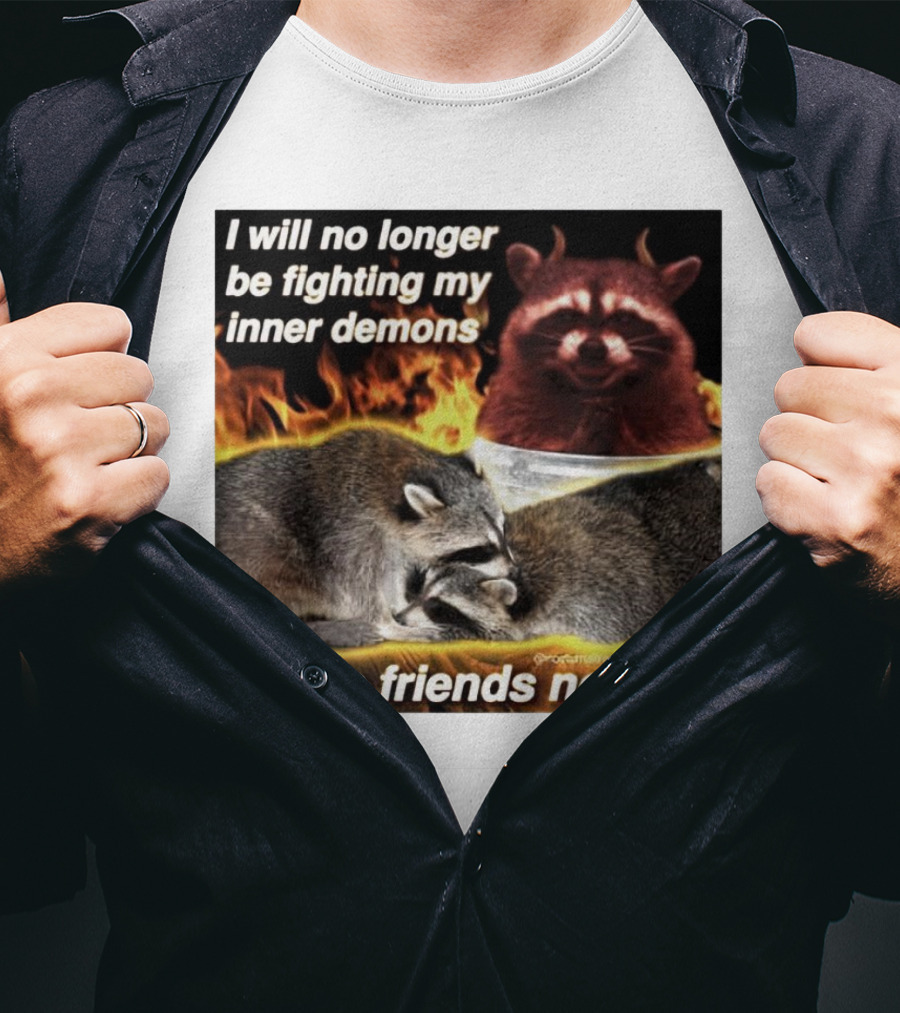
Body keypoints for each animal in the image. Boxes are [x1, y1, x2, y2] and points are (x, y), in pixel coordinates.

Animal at [215, 428, 511, 646]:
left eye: (503, 529)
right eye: (480, 549)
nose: (512, 569)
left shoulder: (390, 541)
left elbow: (392, 573)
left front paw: (402, 605)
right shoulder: (345, 531)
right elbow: (354, 590)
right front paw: (390, 624)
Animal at [477, 228, 715, 456]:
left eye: (623, 318)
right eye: (567, 315)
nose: (592, 349)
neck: (590, 393)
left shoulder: (676, 410)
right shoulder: (511, 407)